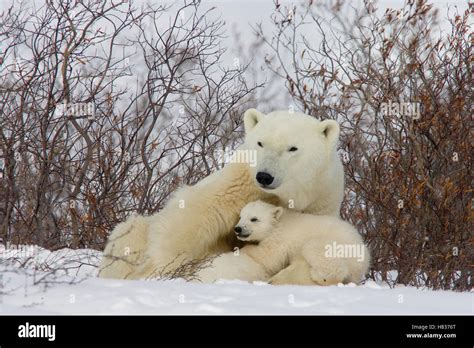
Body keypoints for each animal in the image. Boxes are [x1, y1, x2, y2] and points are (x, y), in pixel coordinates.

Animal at [99, 109, 344, 282]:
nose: (264, 176)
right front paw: (162, 269)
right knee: (129, 232)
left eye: (292, 148)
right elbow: (192, 216)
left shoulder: (321, 198)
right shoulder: (240, 180)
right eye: (260, 143)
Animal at [196, 201, 370, 286]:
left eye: (254, 219)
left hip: (337, 246)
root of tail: (365, 260)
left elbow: (268, 256)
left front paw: (244, 250)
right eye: (241, 216)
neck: (279, 222)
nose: (238, 229)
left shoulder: (280, 239)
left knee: (317, 251)